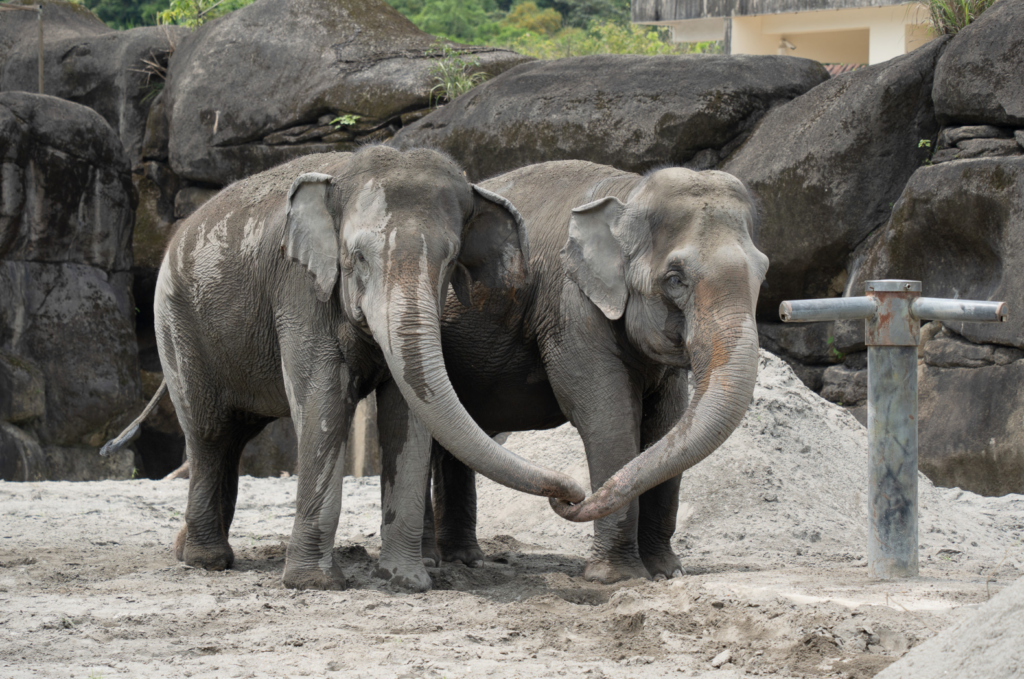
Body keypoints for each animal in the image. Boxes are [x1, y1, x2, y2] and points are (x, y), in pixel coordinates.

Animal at [127, 147, 585, 592]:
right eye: (358, 257)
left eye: (452, 258)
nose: (573, 495)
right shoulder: (300, 290)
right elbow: (323, 401)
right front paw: (315, 584)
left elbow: (407, 412)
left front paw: (407, 581)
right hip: (178, 324)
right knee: (210, 434)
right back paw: (207, 561)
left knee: (234, 436)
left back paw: (189, 549)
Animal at [379, 160, 768, 584]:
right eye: (675, 279)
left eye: (763, 271)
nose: (572, 497)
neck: (629, 192)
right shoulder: (571, 307)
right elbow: (608, 418)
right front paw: (617, 577)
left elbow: (668, 423)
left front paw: (667, 573)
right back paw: (433, 561)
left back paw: (466, 560)